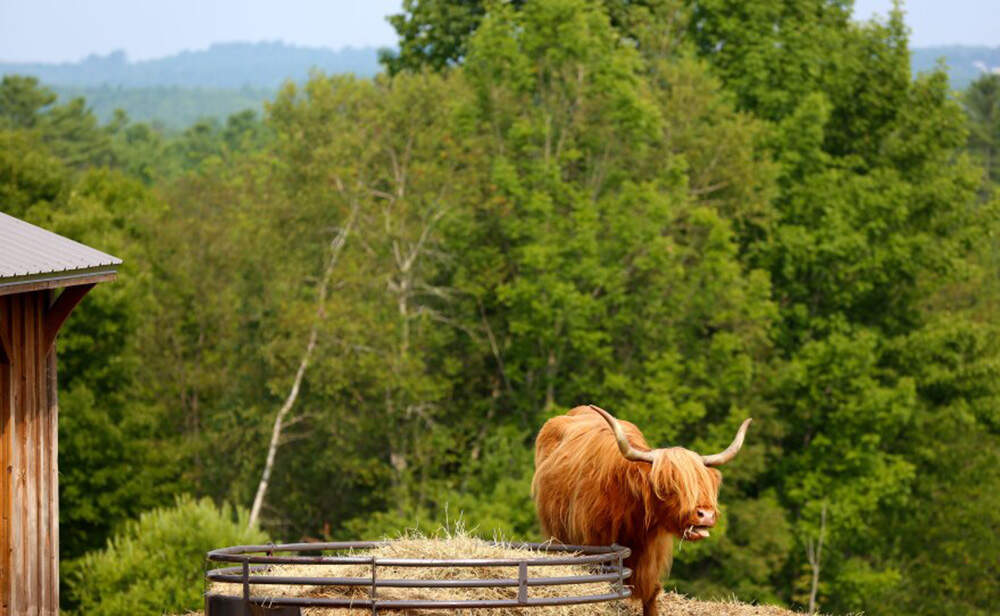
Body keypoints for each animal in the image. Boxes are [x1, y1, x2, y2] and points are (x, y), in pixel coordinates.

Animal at [532, 405, 751, 616]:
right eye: (668, 485)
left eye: (704, 482)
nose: (705, 515)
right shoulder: (594, 549)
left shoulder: (652, 559)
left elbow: (651, 593)